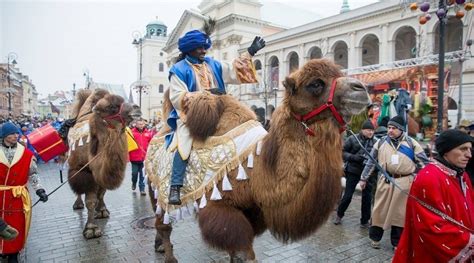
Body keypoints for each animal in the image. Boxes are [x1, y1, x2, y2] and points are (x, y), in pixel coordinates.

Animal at [66, 88, 141, 239]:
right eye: (111, 107)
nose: (137, 108)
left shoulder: (101, 172)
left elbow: (101, 194)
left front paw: (101, 211)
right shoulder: (85, 172)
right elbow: (90, 200)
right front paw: (91, 229)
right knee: (78, 189)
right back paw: (78, 204)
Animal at [146, 58, 372, 262]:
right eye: (315, 84)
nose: (361, 88)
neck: (256, 171)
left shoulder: (252, 210)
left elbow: (238, 252)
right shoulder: (220, 206)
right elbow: (242, 253)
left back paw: (159, 247)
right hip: (155, 186)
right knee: (163, 222)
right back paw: (169, 256)